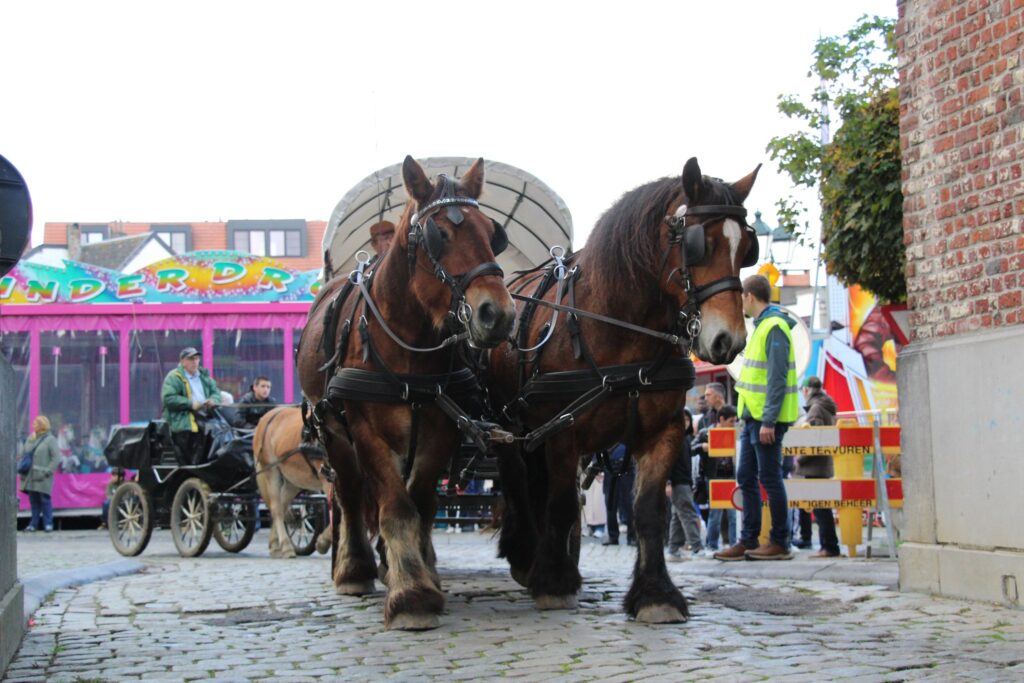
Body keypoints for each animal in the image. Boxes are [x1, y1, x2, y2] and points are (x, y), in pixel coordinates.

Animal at [253, 405, 333, 558]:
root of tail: (266, 417)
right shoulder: (329, 480)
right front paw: (323, 543)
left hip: (292, 482)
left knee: (283, 506)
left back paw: (275, 545)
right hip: (271, 471)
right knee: (276, 509)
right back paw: (286, 546)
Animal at [296, 156, 516, 630]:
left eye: (493, 234)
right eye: (440, 234)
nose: (499, 314)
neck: (407, 348)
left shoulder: (442, 429)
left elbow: (418, 503)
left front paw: (419, 576)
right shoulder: (365, 431)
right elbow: (395, 506)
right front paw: (411, 596)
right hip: (333, 432)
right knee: (349, 493)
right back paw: (355, 569)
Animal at [487, 157, 760, 623]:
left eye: (746, 250)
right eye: (697, 245)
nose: (730, 340)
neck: (615, 329)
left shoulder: (665, 431)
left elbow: (648, 511)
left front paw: (655, 594)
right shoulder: (562, 432)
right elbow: (561, 503)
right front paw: (555, 583)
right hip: (508, 430)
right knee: (520, 485)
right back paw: (526, 555)